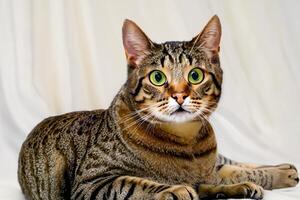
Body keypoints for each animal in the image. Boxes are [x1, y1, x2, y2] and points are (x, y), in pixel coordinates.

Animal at [18, 15, 298, 200]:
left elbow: (234, 169)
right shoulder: (91, 182)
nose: (179, 95)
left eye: (195, 75)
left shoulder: (208, 168)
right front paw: (175, 189)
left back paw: (281, 171)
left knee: (232, 164)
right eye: (157, 77)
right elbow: (134, 183)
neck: (188, 144)